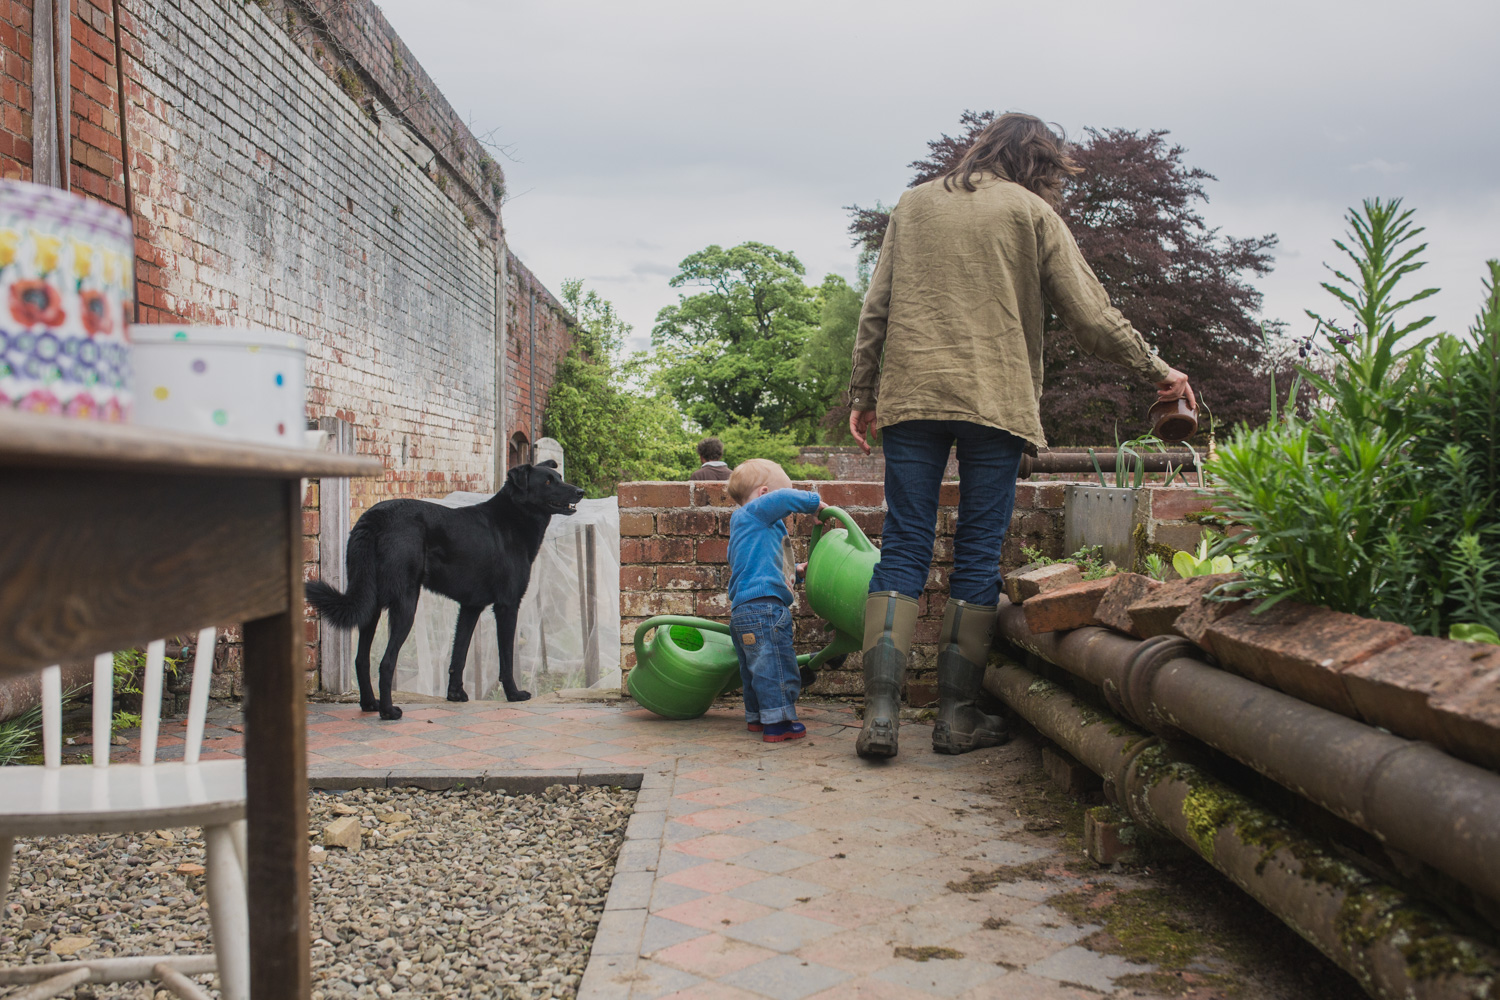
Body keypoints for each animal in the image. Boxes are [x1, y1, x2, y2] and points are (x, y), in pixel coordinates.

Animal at [306, 458, 585, 722]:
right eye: (547, 482)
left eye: (559, 477)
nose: (580, 491)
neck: (513, 516)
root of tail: (373, 517)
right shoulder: (507, 605)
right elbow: (506, 658)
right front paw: (514, 694)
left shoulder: (471, 607)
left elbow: (458, 655)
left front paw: (455, 694)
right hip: (406, 603)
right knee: (386, 662)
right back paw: (388, 711)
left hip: (370, 603)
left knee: (361, 658)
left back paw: (369, 704)